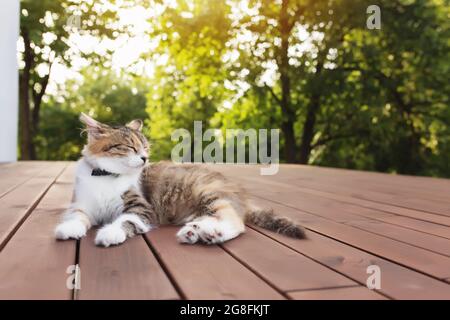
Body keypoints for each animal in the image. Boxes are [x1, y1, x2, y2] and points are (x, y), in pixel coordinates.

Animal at [53, 113, 306, 248]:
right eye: (130, 147)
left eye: (145, 148)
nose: (144, 158)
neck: (106, 176)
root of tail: (239, 191)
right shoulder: (81, 205)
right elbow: (77, 217)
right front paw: (69, 229)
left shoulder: (141, 208)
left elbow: (125, 221)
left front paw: (110, 233)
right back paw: (196, 232)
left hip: (209, 193)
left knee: (235, 222)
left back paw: (212, 233)